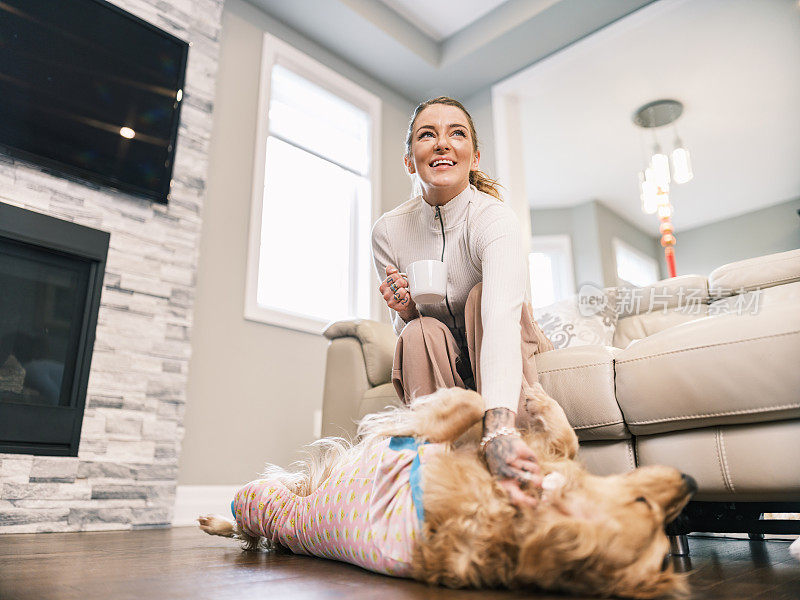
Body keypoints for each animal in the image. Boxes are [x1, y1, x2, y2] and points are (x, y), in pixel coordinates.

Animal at [200, 386, 692, 596]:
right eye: (645, 502)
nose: (690, 481)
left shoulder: (413, 454)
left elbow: (467, 403)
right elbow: (561, 438)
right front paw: (535, 397)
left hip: (263, 501)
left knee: (249, 520)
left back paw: (215, 521)